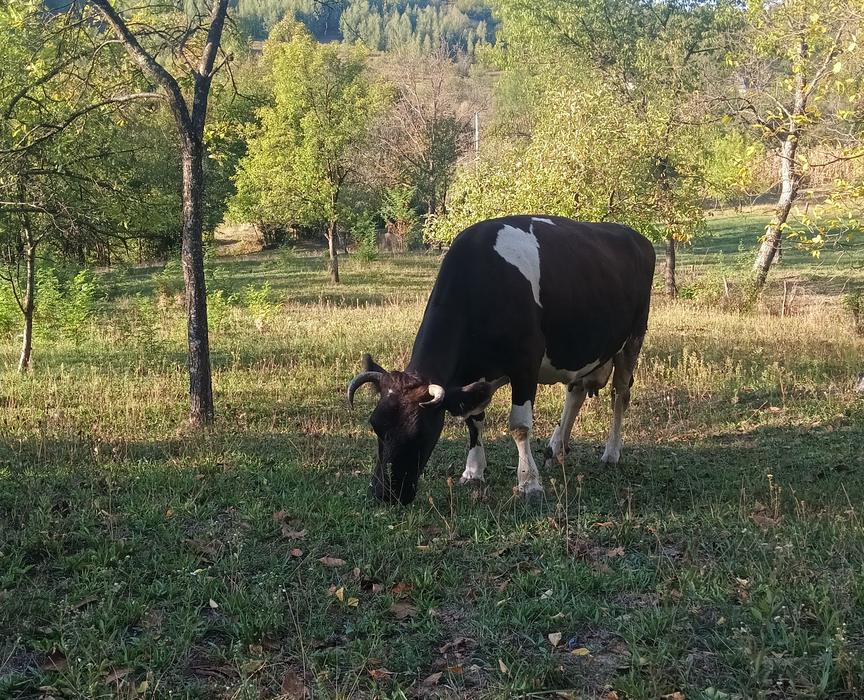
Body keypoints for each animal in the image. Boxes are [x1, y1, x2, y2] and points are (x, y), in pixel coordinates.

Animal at [347, 215, 655, 505]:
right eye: (375, 426)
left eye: (420, 433)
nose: (386, 493)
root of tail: (635, 236)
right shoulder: (470, 378)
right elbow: (474, 420)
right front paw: (473, 472)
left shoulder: (526, 366)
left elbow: (520, 426)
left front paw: (529, 483)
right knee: (575, 392)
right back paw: (556, 449)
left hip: (633, 337)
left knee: (620, 394)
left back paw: (611, 453)